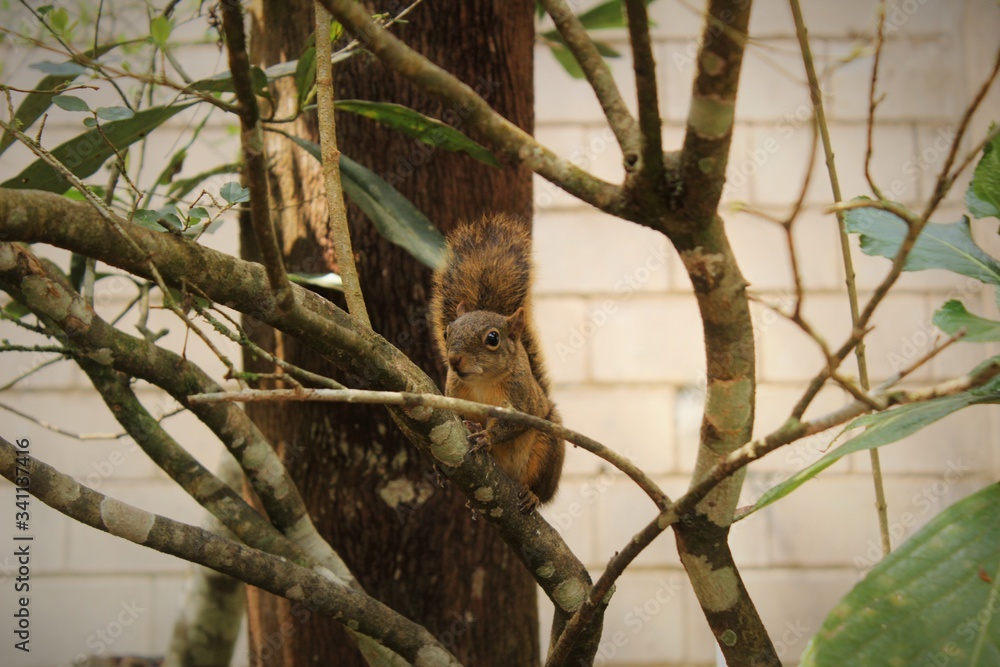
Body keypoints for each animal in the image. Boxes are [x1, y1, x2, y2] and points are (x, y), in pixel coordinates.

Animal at [428, 214, 564, 512]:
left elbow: (512, 424)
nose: (454, 359)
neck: (483, 382)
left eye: (492, 338)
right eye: (447, 332)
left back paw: (532, 495)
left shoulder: (522, 399)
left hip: (548, 448)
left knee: (541, 489)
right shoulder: (454, 393)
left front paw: (487, 436)